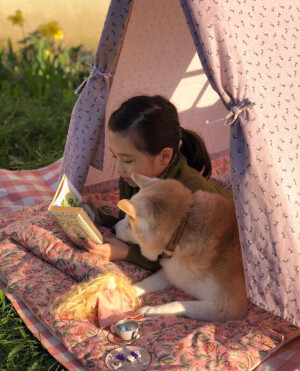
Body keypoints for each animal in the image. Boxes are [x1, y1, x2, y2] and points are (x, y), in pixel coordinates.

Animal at [115, 174, 248, 322]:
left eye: (129, 223)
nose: (113, 229)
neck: (180, 234)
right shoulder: (176, 272)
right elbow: (146, 283)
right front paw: (123, 292)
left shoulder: (228, 307)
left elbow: (177, 303)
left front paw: (150, 310)